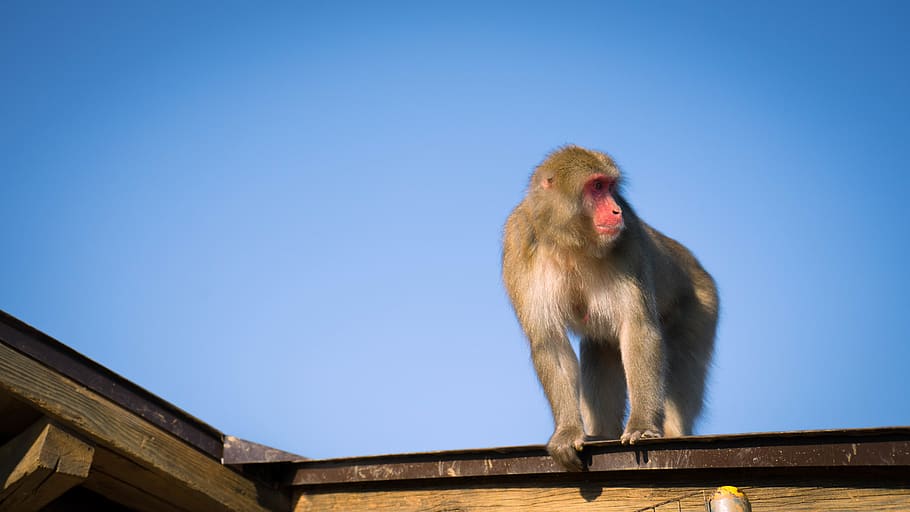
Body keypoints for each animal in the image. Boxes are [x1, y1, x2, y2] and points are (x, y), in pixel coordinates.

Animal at [502, 145, 718, 471]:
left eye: (611, 187)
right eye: (597, 187)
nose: (616, 211)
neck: (569, 242)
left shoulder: (629, 242)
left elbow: (637, 328)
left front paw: (641, 425)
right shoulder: (518, 247)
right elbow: (549, 341)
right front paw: (568, 431)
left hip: (702, 307)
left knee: (682, 360)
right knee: (599, 349)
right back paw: (603, 432)